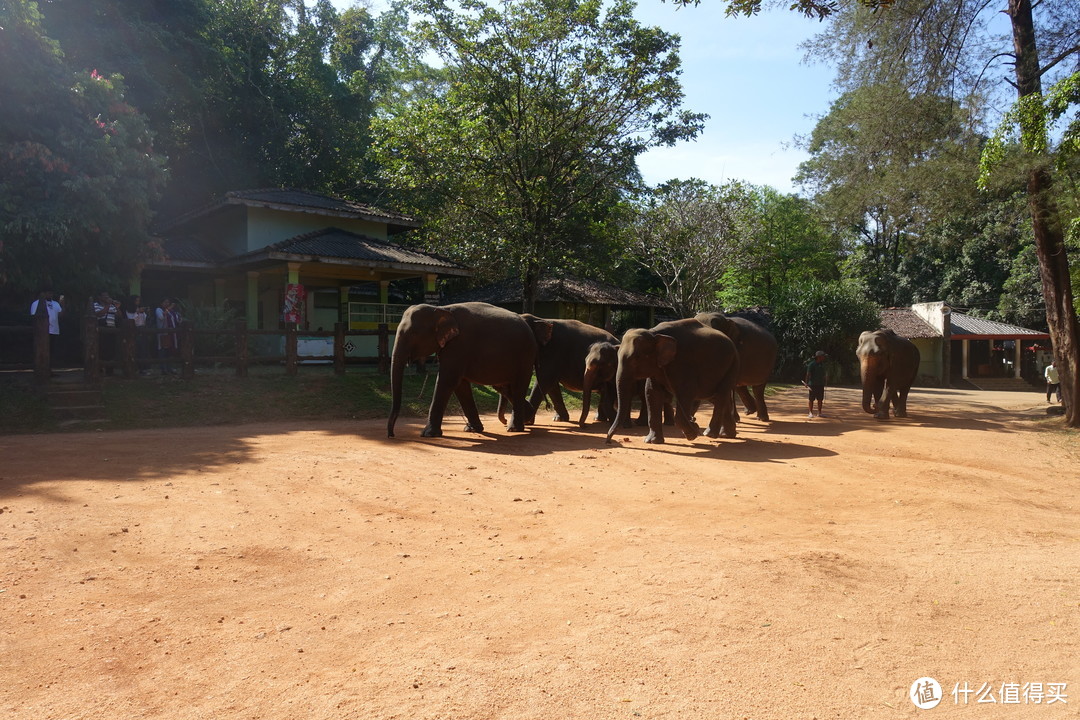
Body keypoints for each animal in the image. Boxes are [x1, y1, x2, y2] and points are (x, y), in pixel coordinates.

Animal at [386, 300, 548, 436]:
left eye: (414, 333)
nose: (391, 435)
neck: (441, 308)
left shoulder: (459, 345)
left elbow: (447, 380)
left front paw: (428, 434)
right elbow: (460, 385)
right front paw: (472, 429)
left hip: (525, 356)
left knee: (518, 386)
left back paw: (515, 428)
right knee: (506, 388)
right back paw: (527, 417)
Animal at [604, 319, 738, 444]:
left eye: (636, 358)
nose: (608, 441)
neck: (654, 333)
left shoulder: (684, 362)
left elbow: (686, 392)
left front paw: (693, 433)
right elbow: (652, 393)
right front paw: (652, 441)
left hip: (732, 364)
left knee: (721, 395)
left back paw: (710, 434)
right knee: (717, 397)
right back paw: (727, 434)